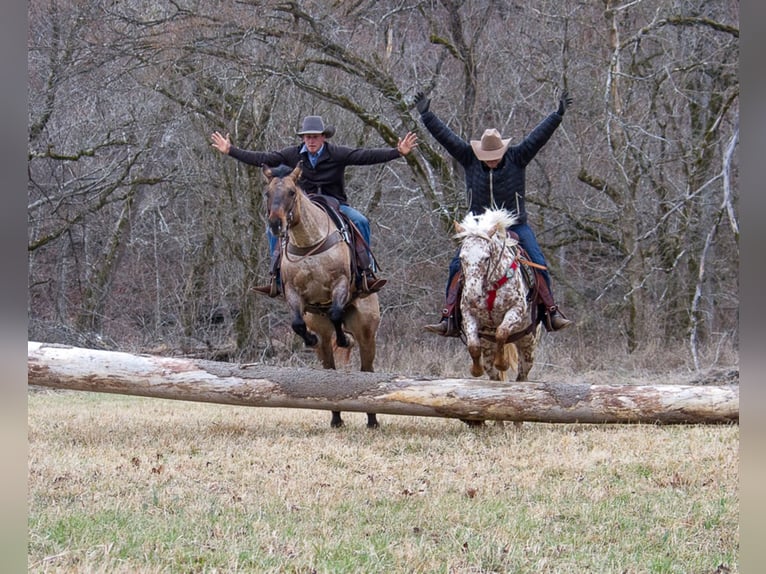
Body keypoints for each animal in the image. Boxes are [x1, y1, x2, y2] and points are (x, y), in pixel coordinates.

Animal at [266, 164, 382, 430]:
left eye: (291, 192)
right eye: (267, 193)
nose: (275, 224)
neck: (308, 243)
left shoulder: (340, 284)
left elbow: (336, 312)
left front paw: (344, 340)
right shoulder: (294, 294)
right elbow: (297, 324)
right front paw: (309, 339)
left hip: (366, 332)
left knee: (367, 369)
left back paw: (372, 420)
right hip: (323, 332)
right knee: (328, 367)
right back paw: (336, 418)